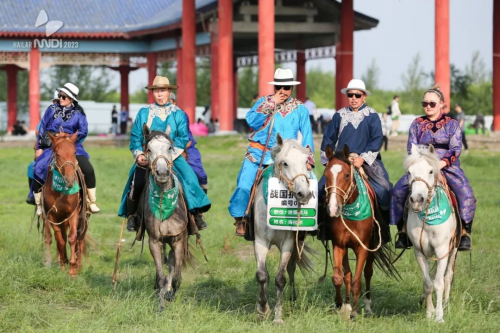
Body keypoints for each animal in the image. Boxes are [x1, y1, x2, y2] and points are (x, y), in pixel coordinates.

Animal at [41, 132, 88, 274]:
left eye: (74, 152)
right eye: (57, 154)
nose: (70, 179)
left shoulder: (74, 213)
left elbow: (73, 238)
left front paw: (72, 269)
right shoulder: (52, 216)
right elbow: (60, 240)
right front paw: (63, 265)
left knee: (80, 239)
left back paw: (78, 264)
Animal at [140, 124, 192, 312]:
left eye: (169, 148)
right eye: (148, 149)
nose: (162, 172)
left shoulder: (179, 239)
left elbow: (176, 275)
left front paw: (171, 293)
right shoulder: (155, 240)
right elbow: (161, 275)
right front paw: (161, 305)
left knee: (171, 261)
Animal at [252, 134, 314, 322]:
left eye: (306, 161)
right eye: (285, 163)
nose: (304, 194)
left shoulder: (288, 243)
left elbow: (281, 278)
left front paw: (278, 316)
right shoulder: (260, 241)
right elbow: (262, 275)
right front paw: (262, 309)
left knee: (291, 269)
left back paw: (292, 298)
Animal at [324, 144, 398, 318]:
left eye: (346, 175)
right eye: (326, 175)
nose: (333, 208)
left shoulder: (363, 248)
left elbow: (358, 281)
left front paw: (355, 312)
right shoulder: (339, 245)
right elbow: (339, 277)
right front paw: (341, 305)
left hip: (372, 247)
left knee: (367, 273)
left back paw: (368, 307)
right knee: (348, 275)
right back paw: (347, 305)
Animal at [406, 143, 458, 322]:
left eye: (430, 171)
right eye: (409, 172)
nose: (416, 200)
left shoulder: (442, 251)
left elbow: (439, 283)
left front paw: (439, 316)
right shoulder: (420, 252)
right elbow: (428, 283)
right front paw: (429, 313)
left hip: (453, 250)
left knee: (448, 276)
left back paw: (447, 304)